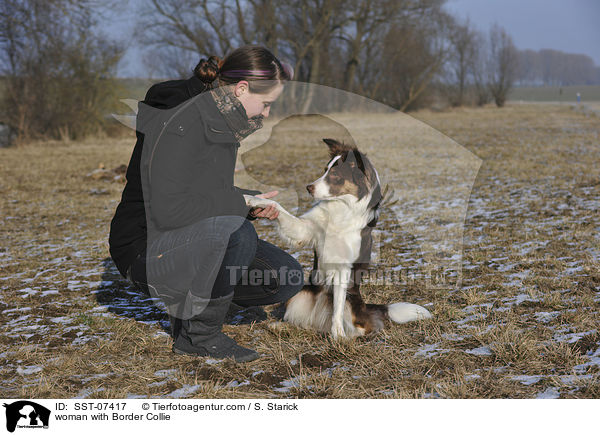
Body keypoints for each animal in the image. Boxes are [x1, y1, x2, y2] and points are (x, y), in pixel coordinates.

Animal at [244, 138, 432, 338]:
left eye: (334, 174)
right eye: (324, 170)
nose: (308, 188)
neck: (341, 207)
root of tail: (365, 306)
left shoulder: (343, 268)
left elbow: (337, 308)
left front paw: (338, 336)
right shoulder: (305, 230)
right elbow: (276, 205)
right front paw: (252, 199)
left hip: (351, 302)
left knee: (355, 323)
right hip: (301, 293)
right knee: (305, 321)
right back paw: (282, 326)